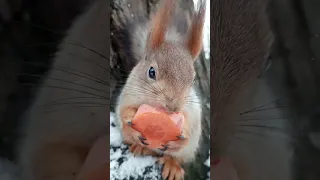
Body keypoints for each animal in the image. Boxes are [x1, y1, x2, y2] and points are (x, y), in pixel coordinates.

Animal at [114, 0, 206, 180]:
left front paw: (180, 138)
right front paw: (130, 124)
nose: (173, 107)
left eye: (192, 80)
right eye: (151, 72)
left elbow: (188, 127)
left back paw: (172, 165)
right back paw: (141, 147)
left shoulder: (192, 110)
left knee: (177, 157)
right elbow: (123, 111)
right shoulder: (128, 94)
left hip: (188, 151)